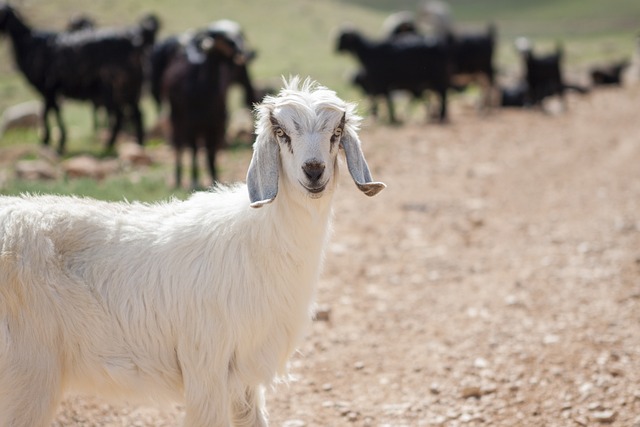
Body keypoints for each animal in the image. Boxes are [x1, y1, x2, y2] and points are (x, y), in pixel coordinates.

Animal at [0, 4, 158, 154]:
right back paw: (133, 143)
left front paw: (51, 141)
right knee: (133, 114)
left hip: (118, 88)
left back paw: (115, 145)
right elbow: (51, 111)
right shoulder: (51, 90)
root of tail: (136, 42)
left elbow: (49, 112)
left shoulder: (47, 88)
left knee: (124, 115)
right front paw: (52, 141)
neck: (28, 43)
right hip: (129, 88)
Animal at [0, 77, 384, 427]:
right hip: (27, 375)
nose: (314, 171)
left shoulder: (242, 378)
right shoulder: (205, 365)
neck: (256, 240)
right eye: (281, 133)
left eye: (336, 133)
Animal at [160, 31, 245, 189]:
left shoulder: (214, 125)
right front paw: (194, 180)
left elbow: (211, 152)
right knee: (179, 145)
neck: (204, 90)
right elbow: (194, 150)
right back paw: (178, 178)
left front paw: (215, 179)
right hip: (176, 119)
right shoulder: (191, 125)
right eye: (227, 41)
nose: (241, 54)